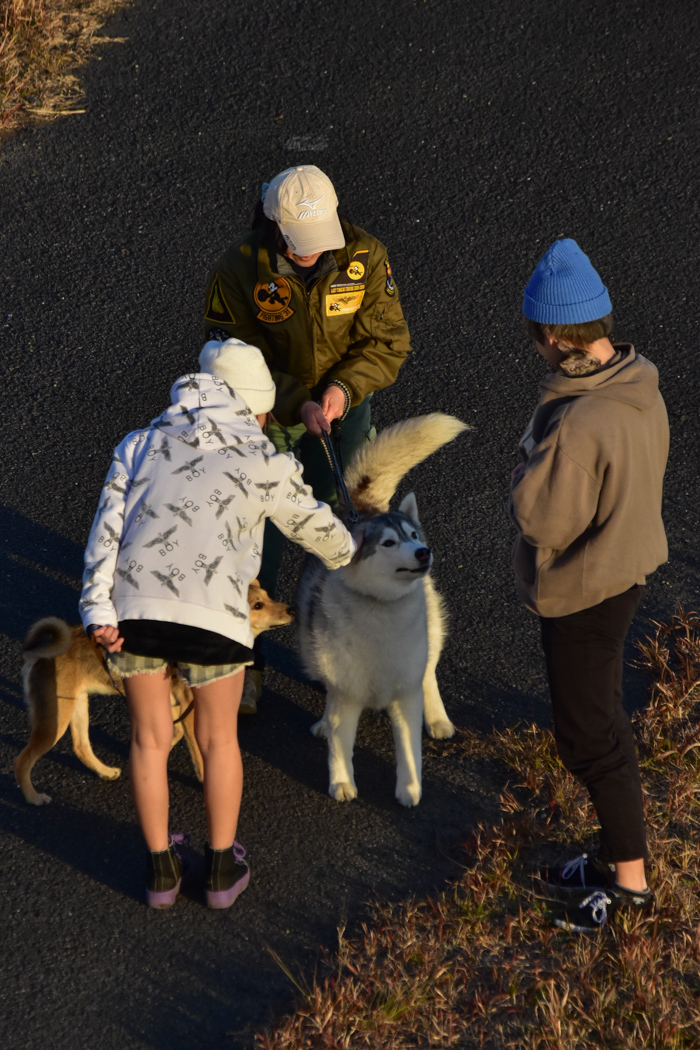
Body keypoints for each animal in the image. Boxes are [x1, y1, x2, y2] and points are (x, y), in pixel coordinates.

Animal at [14, 583, 293, 802]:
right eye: (258, 605)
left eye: (268, 596)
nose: (291, 609)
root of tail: (38, 654)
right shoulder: (190, 709)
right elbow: (199, 756)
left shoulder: (178, 707)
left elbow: (174, 735)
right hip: (55, 720)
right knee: (22, 760)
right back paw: (33, 797)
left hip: (76, 705)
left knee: (80, 746)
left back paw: (105, 772)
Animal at [298, 413, 468, 806]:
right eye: (389, 543)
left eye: (414, 536)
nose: (424, 552)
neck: (381, 608)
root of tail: (361, 508)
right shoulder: (347, 692)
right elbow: (340, 743)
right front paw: (341, 781)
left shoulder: (405, 693)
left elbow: (409, 748)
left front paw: (410, 788)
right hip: (311, 647)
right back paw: (323, 724)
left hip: (430, 638)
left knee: (428, 674)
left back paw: (437, 719)